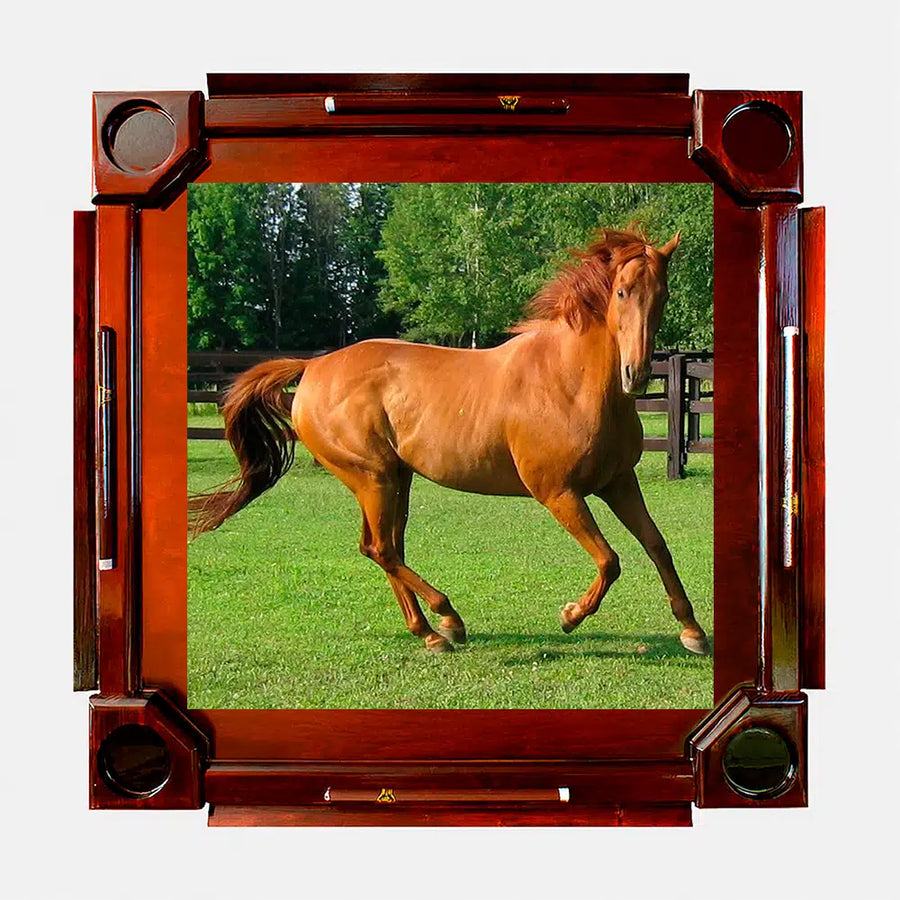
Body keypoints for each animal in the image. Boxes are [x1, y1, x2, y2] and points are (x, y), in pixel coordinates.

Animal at [190, 227, 710, 657]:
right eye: (621, 292)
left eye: (662, 294)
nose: (635, 374)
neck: (570, 381)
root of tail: (313, 366)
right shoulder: (559, 493)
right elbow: (610, 560)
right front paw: (569, 616)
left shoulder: (618, 482)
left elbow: (657, 545)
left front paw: (693, 631)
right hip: (373, 477)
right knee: (381, 549)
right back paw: (448, 620)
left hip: (395, 479)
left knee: (386, 548)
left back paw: (431, 631)